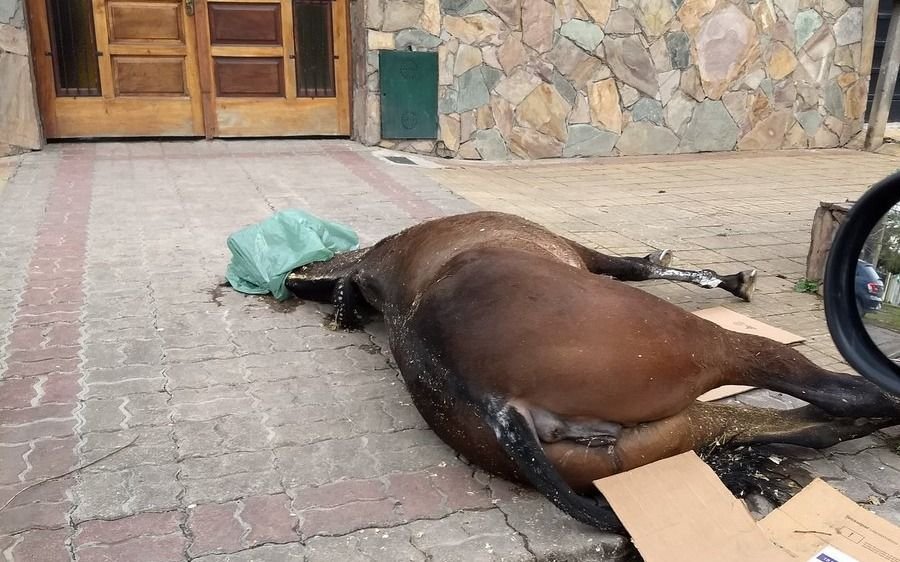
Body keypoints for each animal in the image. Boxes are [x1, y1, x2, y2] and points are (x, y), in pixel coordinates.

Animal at [284, 210, 900, 528]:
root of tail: (498, 406)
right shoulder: (583, 253)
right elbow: (637, 266)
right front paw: (727, 279)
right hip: (706, 348)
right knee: (831, 393)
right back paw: (876, 402)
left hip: (668, 434)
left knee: (809, 429)